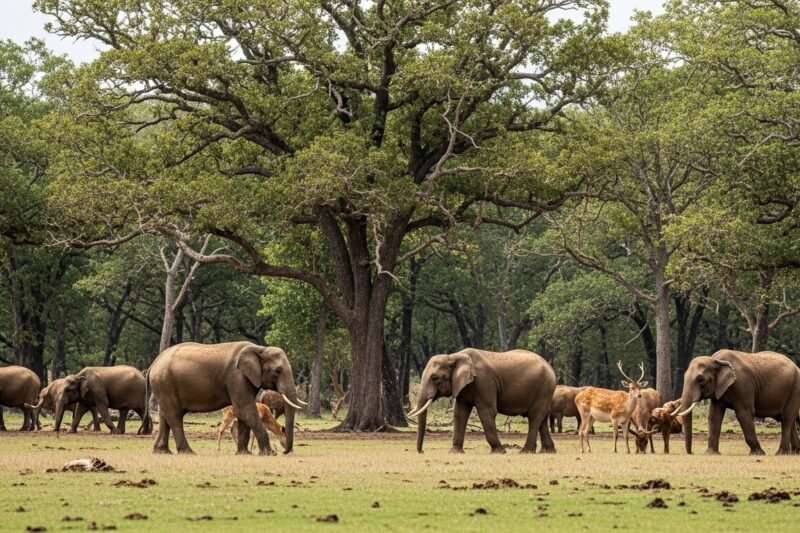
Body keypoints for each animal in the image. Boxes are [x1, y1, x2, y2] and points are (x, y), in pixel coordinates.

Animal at [146, 341, 306, 455]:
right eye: (277, 371)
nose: (285, 451)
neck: (259, 348)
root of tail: (153, 364)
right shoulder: (236, 377)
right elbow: (246, 409)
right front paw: (269, 454)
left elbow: (244, 413)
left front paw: (244, 453)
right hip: (165, 383)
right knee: (174, 415)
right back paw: (188, 452)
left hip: (162, 385)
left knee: (165, 415)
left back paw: (162, 452)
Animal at [411, 348, 556, 454]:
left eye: (435, 378)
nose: (422, 451)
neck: (454, 356)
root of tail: (550, 367)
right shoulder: (464, 386)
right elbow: (460, 413)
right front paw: (454, 452)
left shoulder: (483, 381)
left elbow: (487, 411)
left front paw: (499, 452)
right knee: (542, 418)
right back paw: (547, 451)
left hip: (544, 387)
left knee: (534, 417)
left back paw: (525, 451)